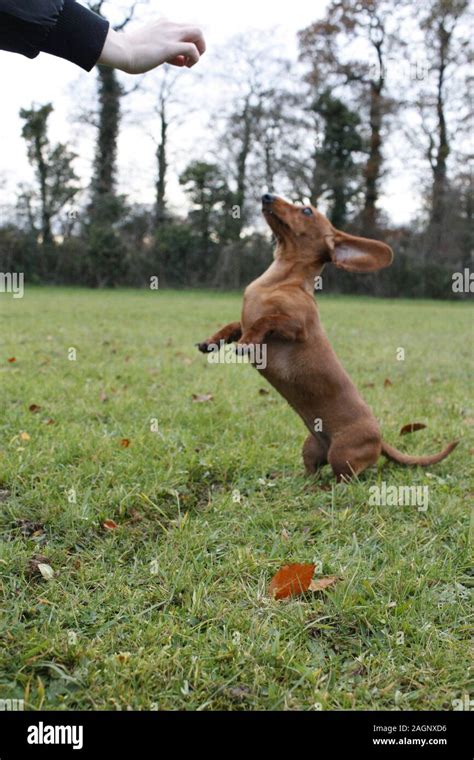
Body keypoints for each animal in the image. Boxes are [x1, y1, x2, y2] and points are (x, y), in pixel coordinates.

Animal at [197, 194, 460, 480]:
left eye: (306, 211)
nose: (267, 196)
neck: (278, 281)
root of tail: (380, 439)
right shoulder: (244, 322)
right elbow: (234, 325)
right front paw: (211, 342)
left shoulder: (296, 327)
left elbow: (266, 320)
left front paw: (246, 343)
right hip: (310, 446)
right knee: (312, 471)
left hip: (342, 454)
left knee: (346, 478)